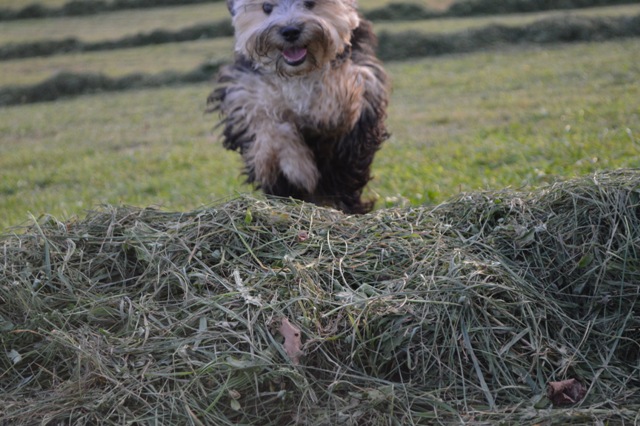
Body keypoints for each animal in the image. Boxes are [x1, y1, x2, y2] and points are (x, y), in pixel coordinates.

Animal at [210, 0, 390, 213]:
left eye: (310, 3)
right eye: (267, 7)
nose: (290, 31)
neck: (297, 73)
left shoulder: (365, 78)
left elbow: (339, 89)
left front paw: (327, 113)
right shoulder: (243, 92)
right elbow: (267, 122)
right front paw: (298, 169)